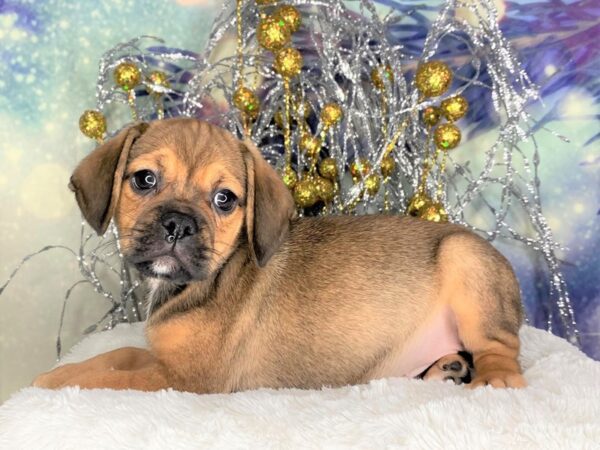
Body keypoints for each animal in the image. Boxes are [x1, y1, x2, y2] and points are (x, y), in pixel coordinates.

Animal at [34, 118, 524, 392]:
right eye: (144, 179)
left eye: (225, 200)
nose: (178, 224)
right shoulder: (164, 361)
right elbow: (111, 357)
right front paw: (63, 371)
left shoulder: (182, 380)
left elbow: (111, 378)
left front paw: (55, 382)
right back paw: (446, 366)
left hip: (465, 260)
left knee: (502, 349)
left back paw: (493, 378)